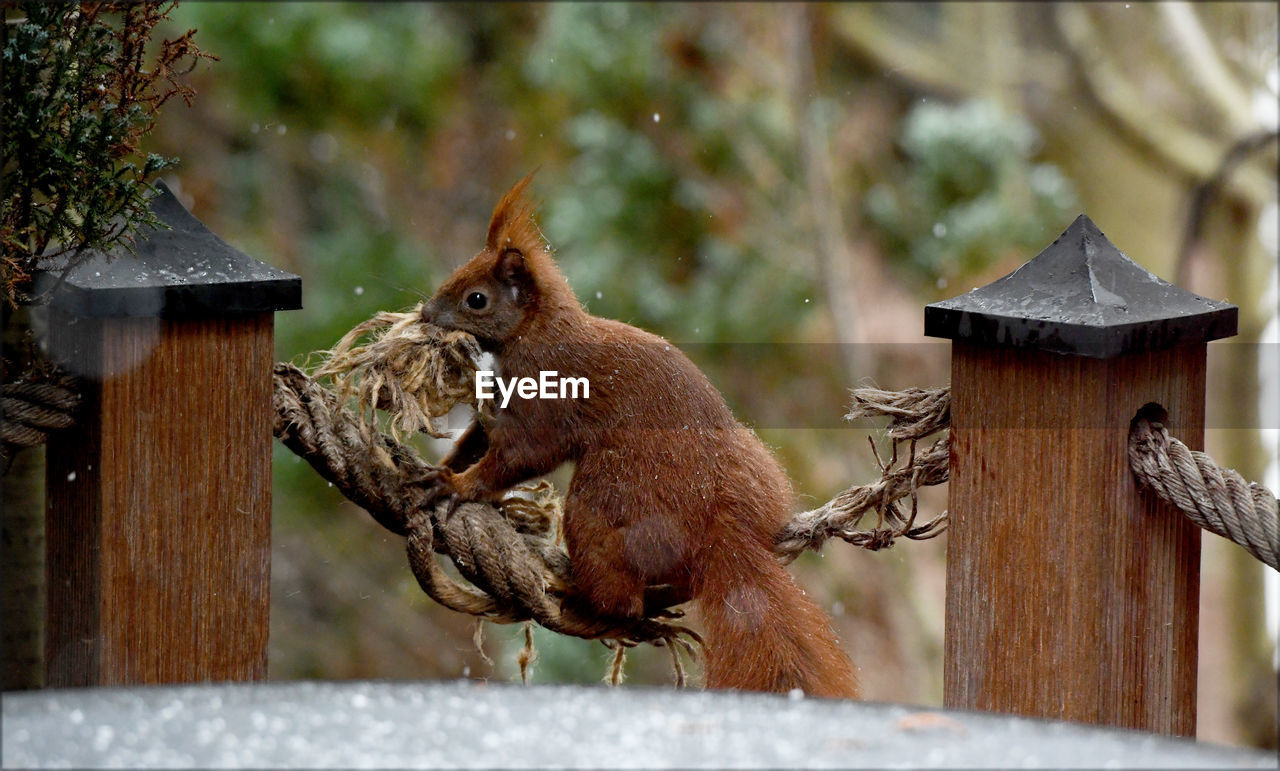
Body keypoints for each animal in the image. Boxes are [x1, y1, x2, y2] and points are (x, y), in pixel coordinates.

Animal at [422, 174, 860, 696]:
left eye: (476, 299)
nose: (424, 313)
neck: (536, 330)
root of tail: (718, 528)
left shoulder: (546, 399)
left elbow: (520, 455)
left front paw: (457, 485)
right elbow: (477, 442)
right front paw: (437, 468)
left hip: (605, 501)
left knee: (621, 599)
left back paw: (586, 599)